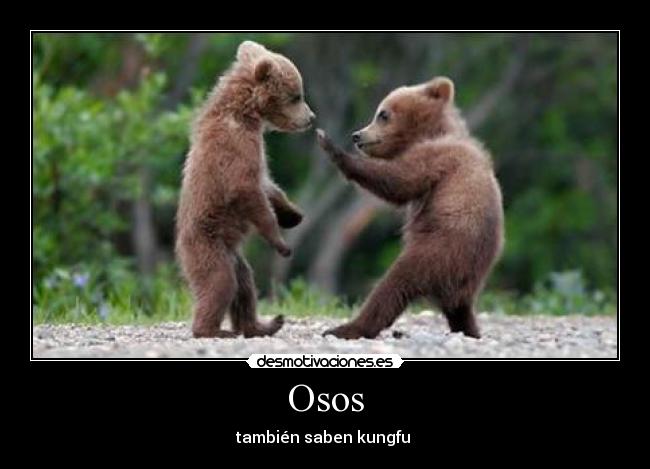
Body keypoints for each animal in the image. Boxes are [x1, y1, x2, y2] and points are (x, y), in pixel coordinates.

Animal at [176, 40, 315, 338]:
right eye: (296, 96)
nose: (311, 117)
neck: (247, 114)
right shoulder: (235, 146)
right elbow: (246, 190)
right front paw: (281, 243)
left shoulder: (256, 150)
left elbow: (268, 185)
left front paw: (293, 214)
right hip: (208, 245)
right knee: (220, 283)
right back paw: (213, 330)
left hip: (234, 256)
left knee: (245, 286)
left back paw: (263, 324)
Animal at [316, 76, 504, 339]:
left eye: (382, 114)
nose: (357, 135)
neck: (431, 132)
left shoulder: (437, 158)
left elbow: (399, 181)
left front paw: (329, 145)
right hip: (464, 275)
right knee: (458, 309)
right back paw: (470, 330)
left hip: (438, 251)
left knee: (393, 285)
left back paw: (346, 328)